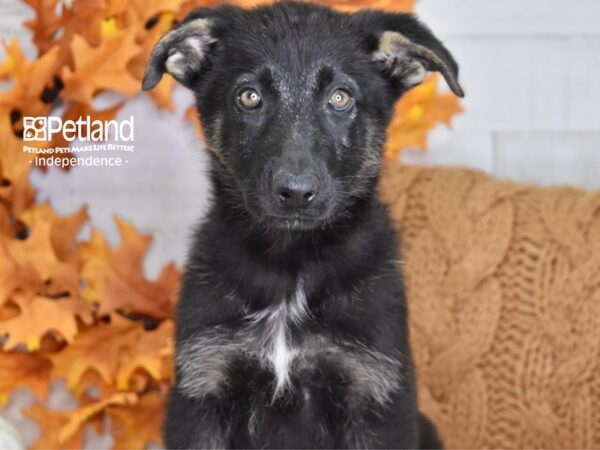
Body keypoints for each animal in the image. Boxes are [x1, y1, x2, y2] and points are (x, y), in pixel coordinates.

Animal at [143, 1, 462, 448]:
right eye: (249, 97)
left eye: (340, 98)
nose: (295, 192)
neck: (289, 265)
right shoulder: (203, 388)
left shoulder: (375, 396)